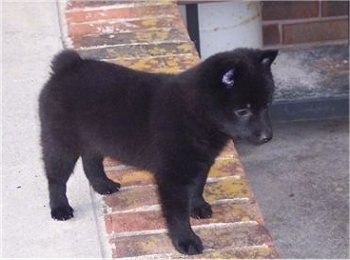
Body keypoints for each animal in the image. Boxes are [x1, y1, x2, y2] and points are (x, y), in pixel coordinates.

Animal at [39, 47, 278, 255]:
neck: (196, 113)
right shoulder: (172, 175)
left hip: (94, 138)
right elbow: (177, 212)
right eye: (243, 110)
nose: (268, 137)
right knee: (56, 178)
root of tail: (68, 65)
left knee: (91, 161)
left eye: (266, 105)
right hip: (61, 142)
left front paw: (198, 206)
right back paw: (60, 208)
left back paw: (103, 184)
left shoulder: (201, 161)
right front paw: (186, 240)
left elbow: (197, 186)